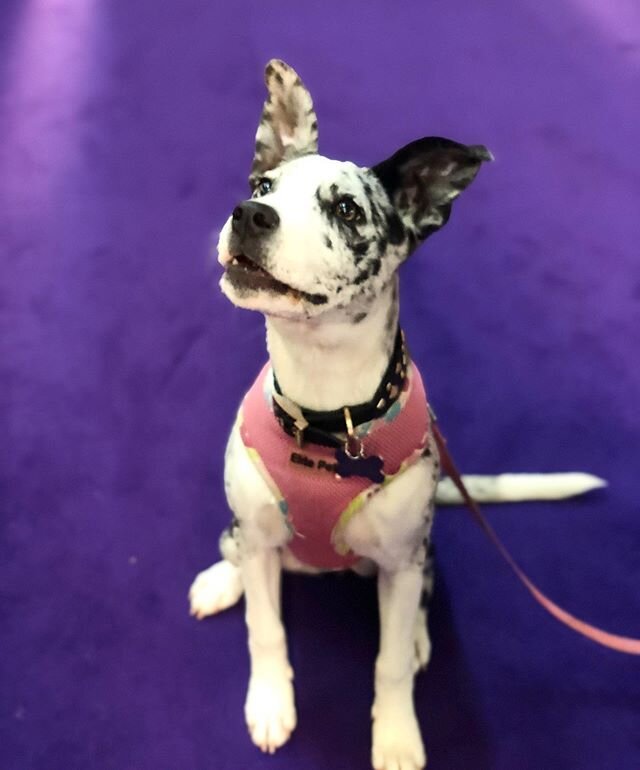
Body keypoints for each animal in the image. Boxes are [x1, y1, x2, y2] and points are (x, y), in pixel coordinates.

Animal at [190, 61, 604, 768]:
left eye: (347, 208)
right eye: (263, 186)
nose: (248, 214)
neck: (326, 418)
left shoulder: (404, 563)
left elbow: (385, 666)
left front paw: (397, 735)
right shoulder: (262, 536)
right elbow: (265, 629)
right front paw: (270, 701)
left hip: (418, 554)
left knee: (413, 610)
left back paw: (412, 641)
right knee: (239, 551)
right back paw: (224, 577)